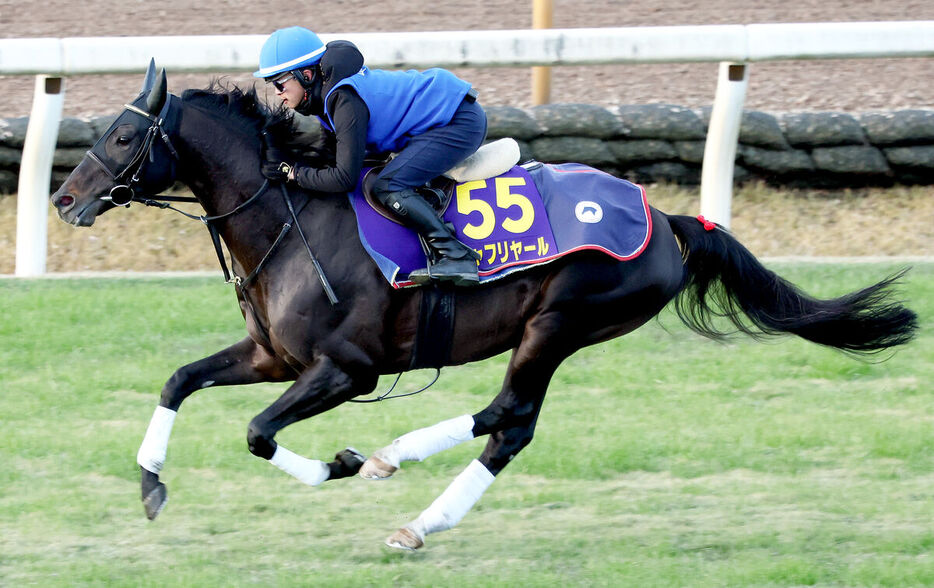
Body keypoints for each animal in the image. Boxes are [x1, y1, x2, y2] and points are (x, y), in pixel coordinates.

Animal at [51, 64, 920, 552]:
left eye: (124, 136)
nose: (63, 198)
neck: (290, 219)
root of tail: (667, 219)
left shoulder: (348, 370)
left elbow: (259, 433)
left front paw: (338, 464)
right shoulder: (273, 357)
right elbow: (178, 380)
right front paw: (150, 484)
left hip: (560, 320)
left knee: (507, 415)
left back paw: (390, 461)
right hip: (558, 329)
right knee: (511, 427)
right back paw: (416, 518)